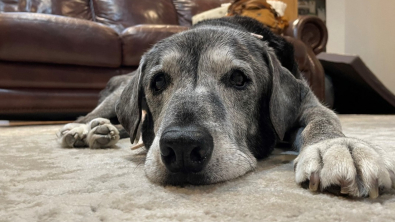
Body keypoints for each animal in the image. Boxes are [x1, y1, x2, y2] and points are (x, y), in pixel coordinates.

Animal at [58, 16, 395, 199]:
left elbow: (322, 117)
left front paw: (338, 148)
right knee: (100, 112)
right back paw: (86, 128)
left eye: (238, 79)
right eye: (158, 81)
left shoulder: (303, 99)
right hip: (117, 93)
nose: (182, 147)